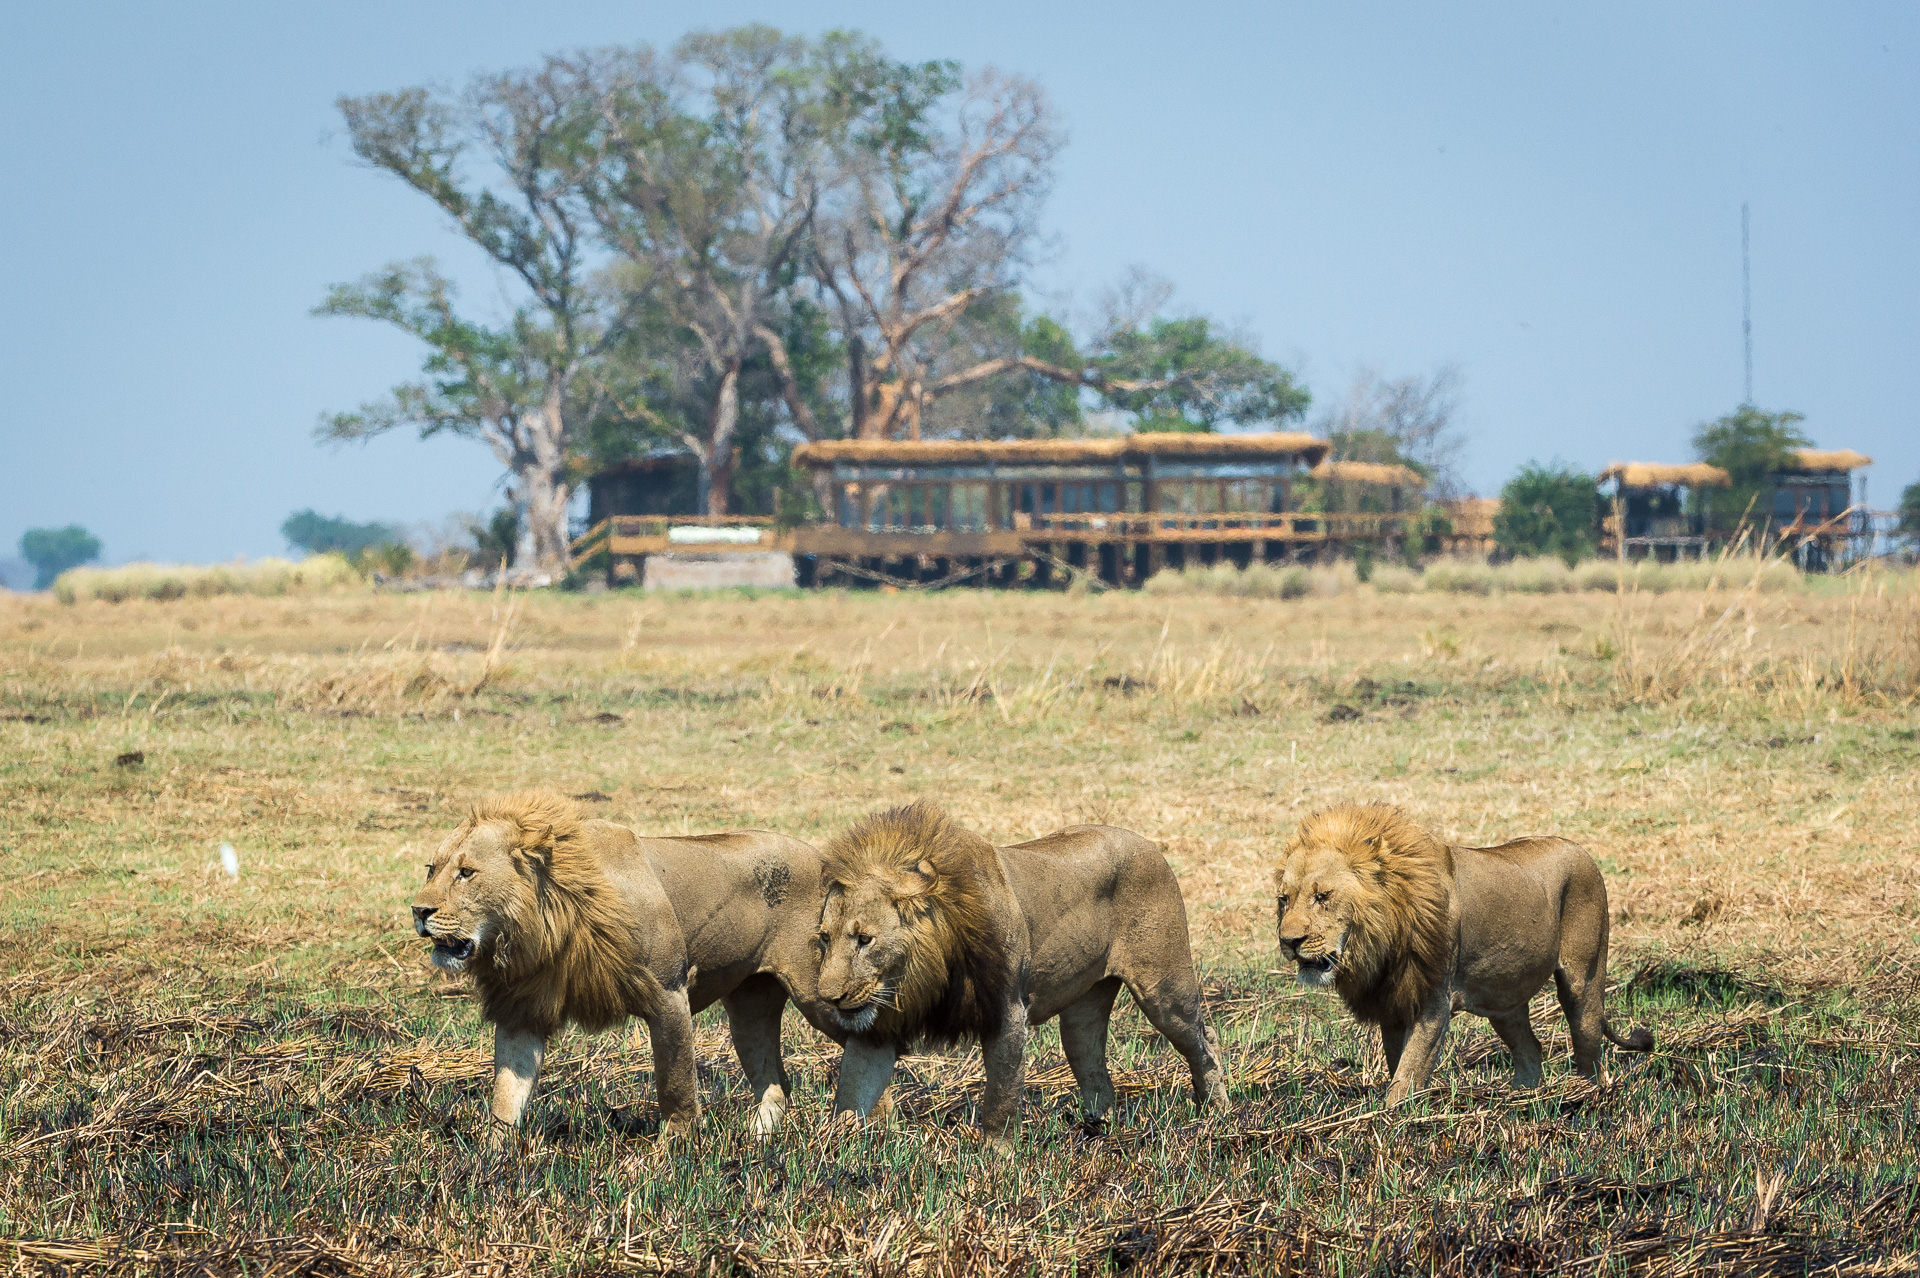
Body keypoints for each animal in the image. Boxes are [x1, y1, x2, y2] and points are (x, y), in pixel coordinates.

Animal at [412, 792, 842, 1144]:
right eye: (431, 869)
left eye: (466, 873)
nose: (418, 911)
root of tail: (822, 860)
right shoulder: (522, 1009)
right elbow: (506, 1094)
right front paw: (493, 1158)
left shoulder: (669, 992)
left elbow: (676, 1085)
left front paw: (672, 1157)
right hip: (750, 1004)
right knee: (776, 1083)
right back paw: (759, 1143)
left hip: (819, 992)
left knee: (859, 1038)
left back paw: (849, 1129)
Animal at [813, 802, 1228, 1138]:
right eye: (824, 938)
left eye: (865, 939)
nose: (827, 997)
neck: (921, 975)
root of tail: (1148, 843)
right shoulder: (877, 1028)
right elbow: (852, 1092)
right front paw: (836, 1152)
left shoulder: (1006, 1012)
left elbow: (1001, 1100)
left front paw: (993, 1170)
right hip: (1083, 1012)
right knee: (1093, 1066)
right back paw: (1096, 1132)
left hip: (1163, 989)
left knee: (1204, 1039)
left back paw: (1216, 1114)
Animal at [1273, 804, 1653, 1104]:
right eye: (1284, 899)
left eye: (1323, 896)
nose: (1289, 941)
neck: (1384, 938)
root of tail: (1579, 848)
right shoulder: (1393, 1004)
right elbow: (1398, 1064)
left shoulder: (1434, 1000)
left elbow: (1409, 1070)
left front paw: (1388, 1122)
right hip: (1505, 1001)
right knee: (1531, 1051)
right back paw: (1518, 1099)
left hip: (1583, 981)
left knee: (1590, 1052)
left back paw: (1583, 1098)